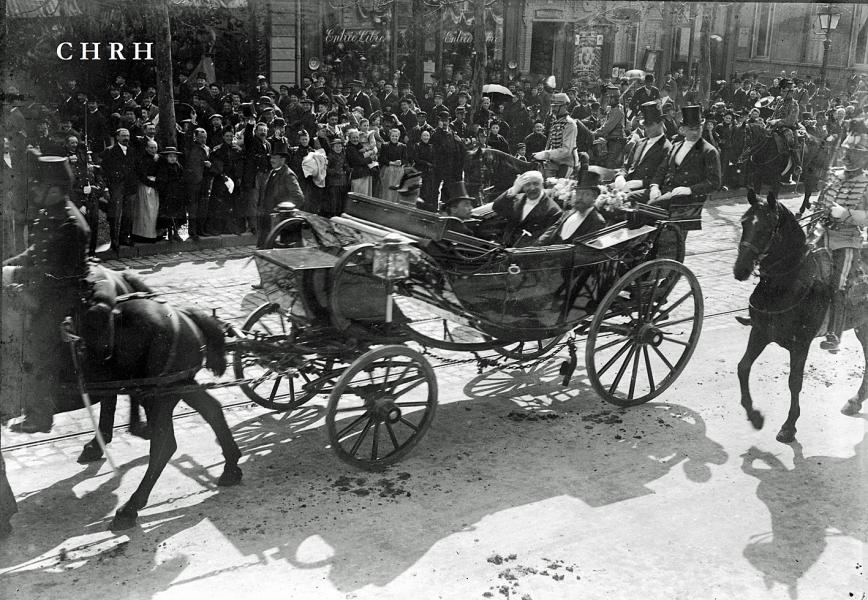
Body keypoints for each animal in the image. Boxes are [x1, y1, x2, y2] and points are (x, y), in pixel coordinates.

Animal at [58, 296, 241, 528]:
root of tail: (183, 314)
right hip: (179, 384)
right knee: (212, 410)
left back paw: (130, 508)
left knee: (165, 444)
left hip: (161, 392)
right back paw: (231, 468)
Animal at [732, 192, 868, 440]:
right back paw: (855, 401)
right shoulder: (760, 332)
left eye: (766, 228)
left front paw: (789, 426)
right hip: (862, 326)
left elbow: (794, 382)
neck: (788, 282)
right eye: (744, 222)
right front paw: (754, 416)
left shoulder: (800, 344)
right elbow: (743, 367)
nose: (741, 269)